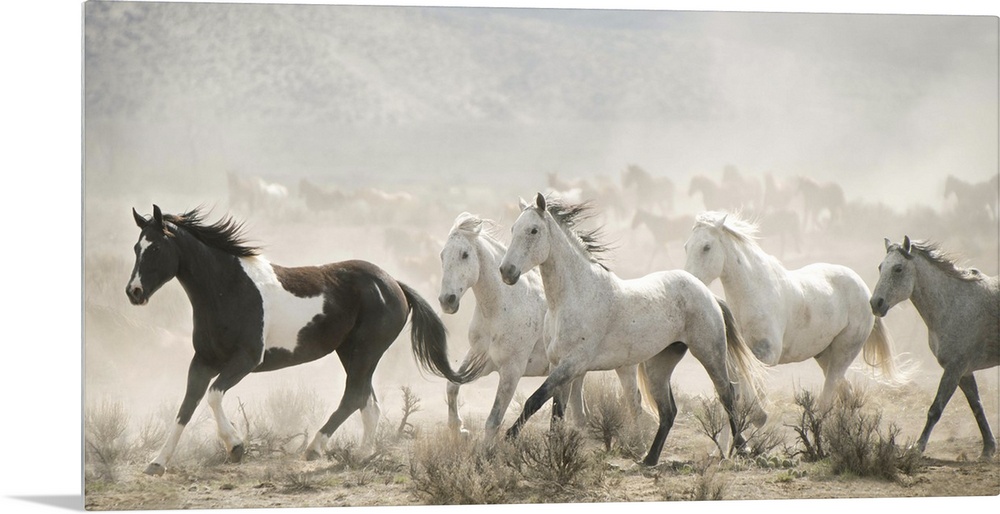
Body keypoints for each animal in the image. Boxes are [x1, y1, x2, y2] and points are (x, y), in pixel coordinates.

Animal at [127, 204, 482, 472]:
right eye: (136, 247)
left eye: (155, 248)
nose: (134, 292)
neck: (228, 289)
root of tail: (393, 284)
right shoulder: (202, 361)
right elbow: (186, 407)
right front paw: (157, 463)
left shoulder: (245, 359)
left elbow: (213, 396)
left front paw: (236, 446)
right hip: (350, 353)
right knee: (368, 403)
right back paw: (363, 456)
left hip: (365, 351)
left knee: (354, 397)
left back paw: (314, 448)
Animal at [438, 210, 640, 438]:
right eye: (442, 255)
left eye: (464, 254)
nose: (447, 301)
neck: (502, 306)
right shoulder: (480, 356)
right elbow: (452, 385)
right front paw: (458, 430)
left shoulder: (511, 369)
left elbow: (493, 420)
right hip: (575, 371)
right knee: (581, 413)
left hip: (624, 366)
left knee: (634, 403)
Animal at [496, 193, 760, 464]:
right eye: (513, 228)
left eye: (533, 230)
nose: (507, 272)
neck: (572, 297)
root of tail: (706, 292)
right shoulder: (558, 365)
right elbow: (557, 413)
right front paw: (554, 453)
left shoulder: (573, 364)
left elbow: (535, 400)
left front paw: (507, 439)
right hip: (658, 365)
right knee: (669, 410)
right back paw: (649, 459)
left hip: (709, 352)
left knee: (727, 393)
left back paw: (742, 448)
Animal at [680, 210, 908, 406]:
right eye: (686, 246)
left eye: (706, 247)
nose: (690, 282)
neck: (754, 293)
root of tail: (865, 290)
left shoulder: (767, 355)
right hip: (824, 355)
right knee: (845, 390)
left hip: (844, 352)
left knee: (829, 392)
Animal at [868, 235, 1000, 456]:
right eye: (880, 267)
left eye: (898, 268)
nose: (876, 303)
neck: (954, 303)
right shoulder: (964, 372)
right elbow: (977, 406)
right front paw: (988, 449)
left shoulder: (954, 369)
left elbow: (935, 409)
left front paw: (917, 447)